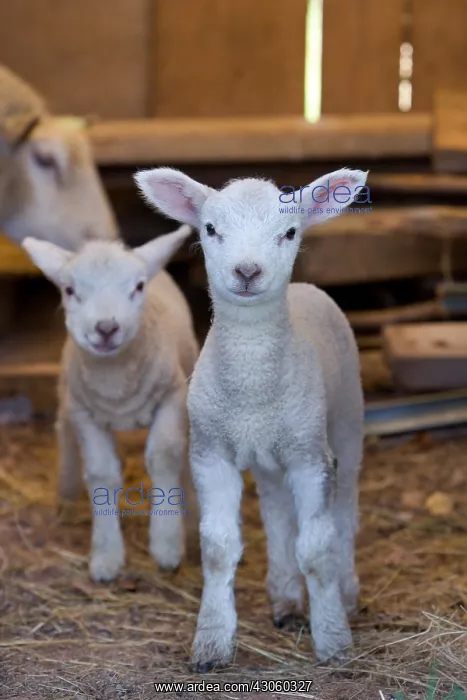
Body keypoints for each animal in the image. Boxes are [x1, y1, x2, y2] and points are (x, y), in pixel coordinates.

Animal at [21, 224, 199, 581]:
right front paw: (106, 557)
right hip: (69, 395)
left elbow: (164, 458)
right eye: (70, 289)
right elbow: (102, 473)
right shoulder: (85, 413)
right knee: (64, 433)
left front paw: (167, 545)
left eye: (138, 286)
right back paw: (66, 498)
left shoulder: (172, 397)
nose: (106, 328)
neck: (117, 383)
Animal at [134, 166, 367, 670]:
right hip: (270, 457)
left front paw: (333, 640)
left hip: (345, 424)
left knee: (345, 510)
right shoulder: (211, 452)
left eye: (290, 232)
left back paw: (346, 592)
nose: (246, 272)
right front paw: (211, 644)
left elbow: (316, 549)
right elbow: (218, 551)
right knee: (277, 510)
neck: (252, 390)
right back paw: (285, 600)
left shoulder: (309, 457)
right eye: (210, 229)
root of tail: (304, 289)